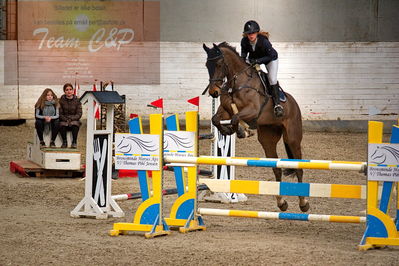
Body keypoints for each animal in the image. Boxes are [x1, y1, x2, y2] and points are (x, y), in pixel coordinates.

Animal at [203, 42, 310, 212]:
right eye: (207, 64)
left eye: (219, 64)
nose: (214, 92)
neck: (236, 83)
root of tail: (294, 104)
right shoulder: (225, 111)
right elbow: (216, 119)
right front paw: (229, 130)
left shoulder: (252, 110)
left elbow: (236, 118)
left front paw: (243, 131)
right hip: (268, 139)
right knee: (276, 168)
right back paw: (282, 203)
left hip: (293, 139)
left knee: (299, 168)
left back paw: (303, 203)